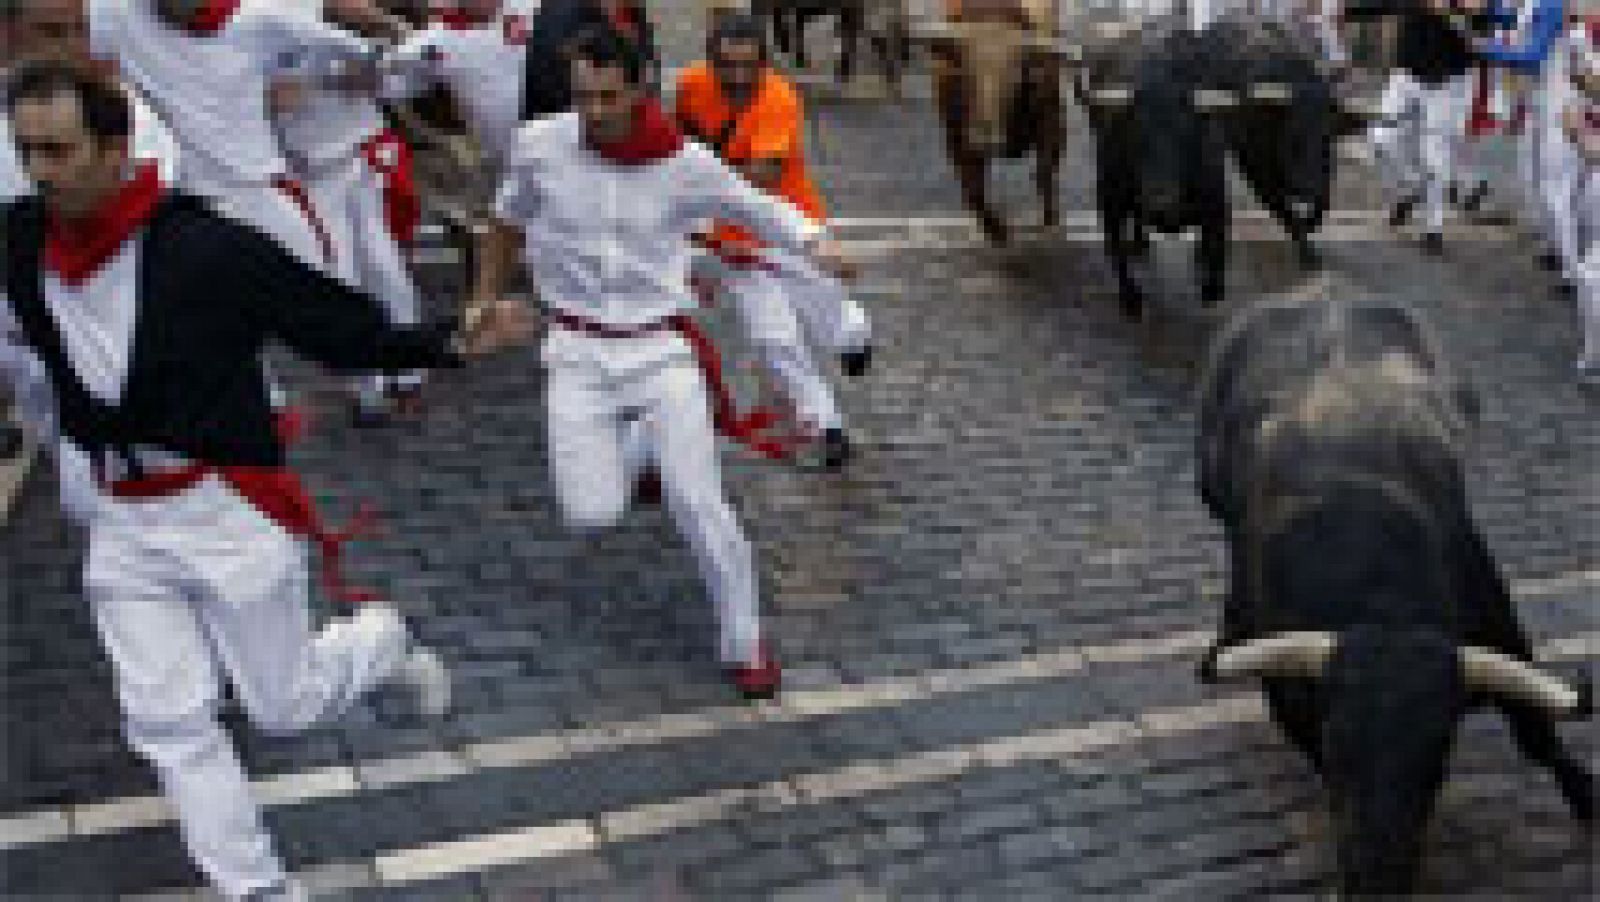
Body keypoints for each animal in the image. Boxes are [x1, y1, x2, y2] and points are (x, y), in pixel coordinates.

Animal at [915, 0, 1075, 243]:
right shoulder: (955, 136)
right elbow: (973, 189)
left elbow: (1044, 172)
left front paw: (1050, 223)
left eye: (1016, 77)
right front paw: (996, 230)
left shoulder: (1053, 121)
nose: (985, 139)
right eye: (965, 72)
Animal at [1196, 287, 1593, 895]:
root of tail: (1321, 289)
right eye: (1334, 751)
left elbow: (1538, 737)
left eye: (1438, 755)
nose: (1372, 882)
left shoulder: (1501, 632)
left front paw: (1588, 795)